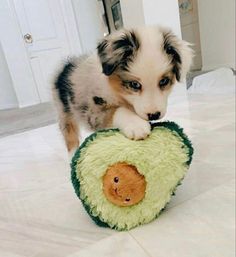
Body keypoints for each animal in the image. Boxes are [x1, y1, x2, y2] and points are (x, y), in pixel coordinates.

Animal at [52, 26, 193, 154]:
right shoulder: (93, 111)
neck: (118, 92)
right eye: (135, 84)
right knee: (70, 134)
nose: (154, 115)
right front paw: (136, 125)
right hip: (64, 111)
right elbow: (118, 110)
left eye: (164, 81)